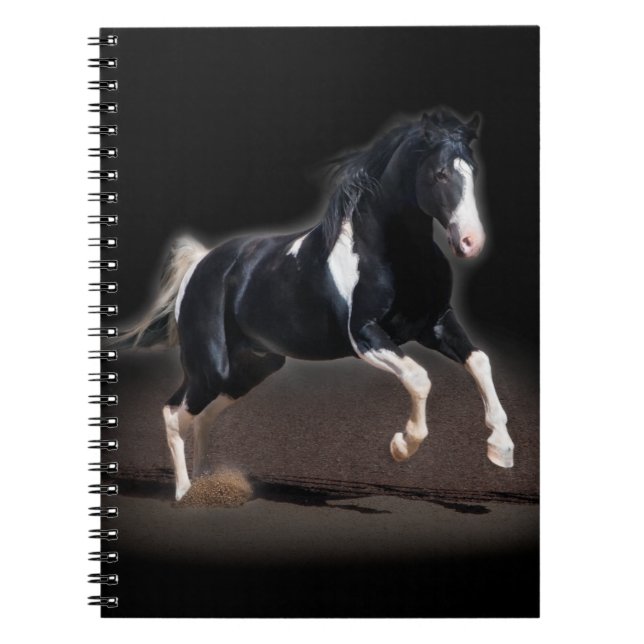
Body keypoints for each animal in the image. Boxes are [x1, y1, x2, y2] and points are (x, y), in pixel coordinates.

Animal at [119, 108, 514, 501]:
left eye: (473, 171)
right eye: (440, 173)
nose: (471, 242)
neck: (392, 255)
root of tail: (200, 263)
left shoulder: (435, 323)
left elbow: (480, 361)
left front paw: (502, 450)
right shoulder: (365, 337)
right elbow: (419, 378)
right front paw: (401, 446)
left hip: (252, 367)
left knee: (202, 417)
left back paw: (207, 485)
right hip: (210, 367)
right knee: (174, 413)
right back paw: (186, 493)